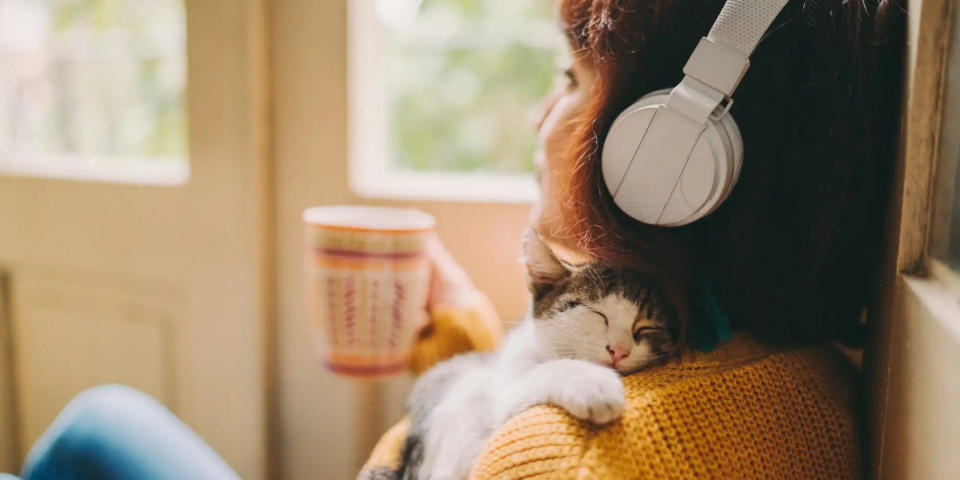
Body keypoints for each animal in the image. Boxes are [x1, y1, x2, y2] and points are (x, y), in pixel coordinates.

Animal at [362, 230, 684, 480]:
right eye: (598, 314)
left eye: (646, 326)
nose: (619, 350)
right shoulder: (495, 387)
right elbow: (529, 379)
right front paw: (593, 383)